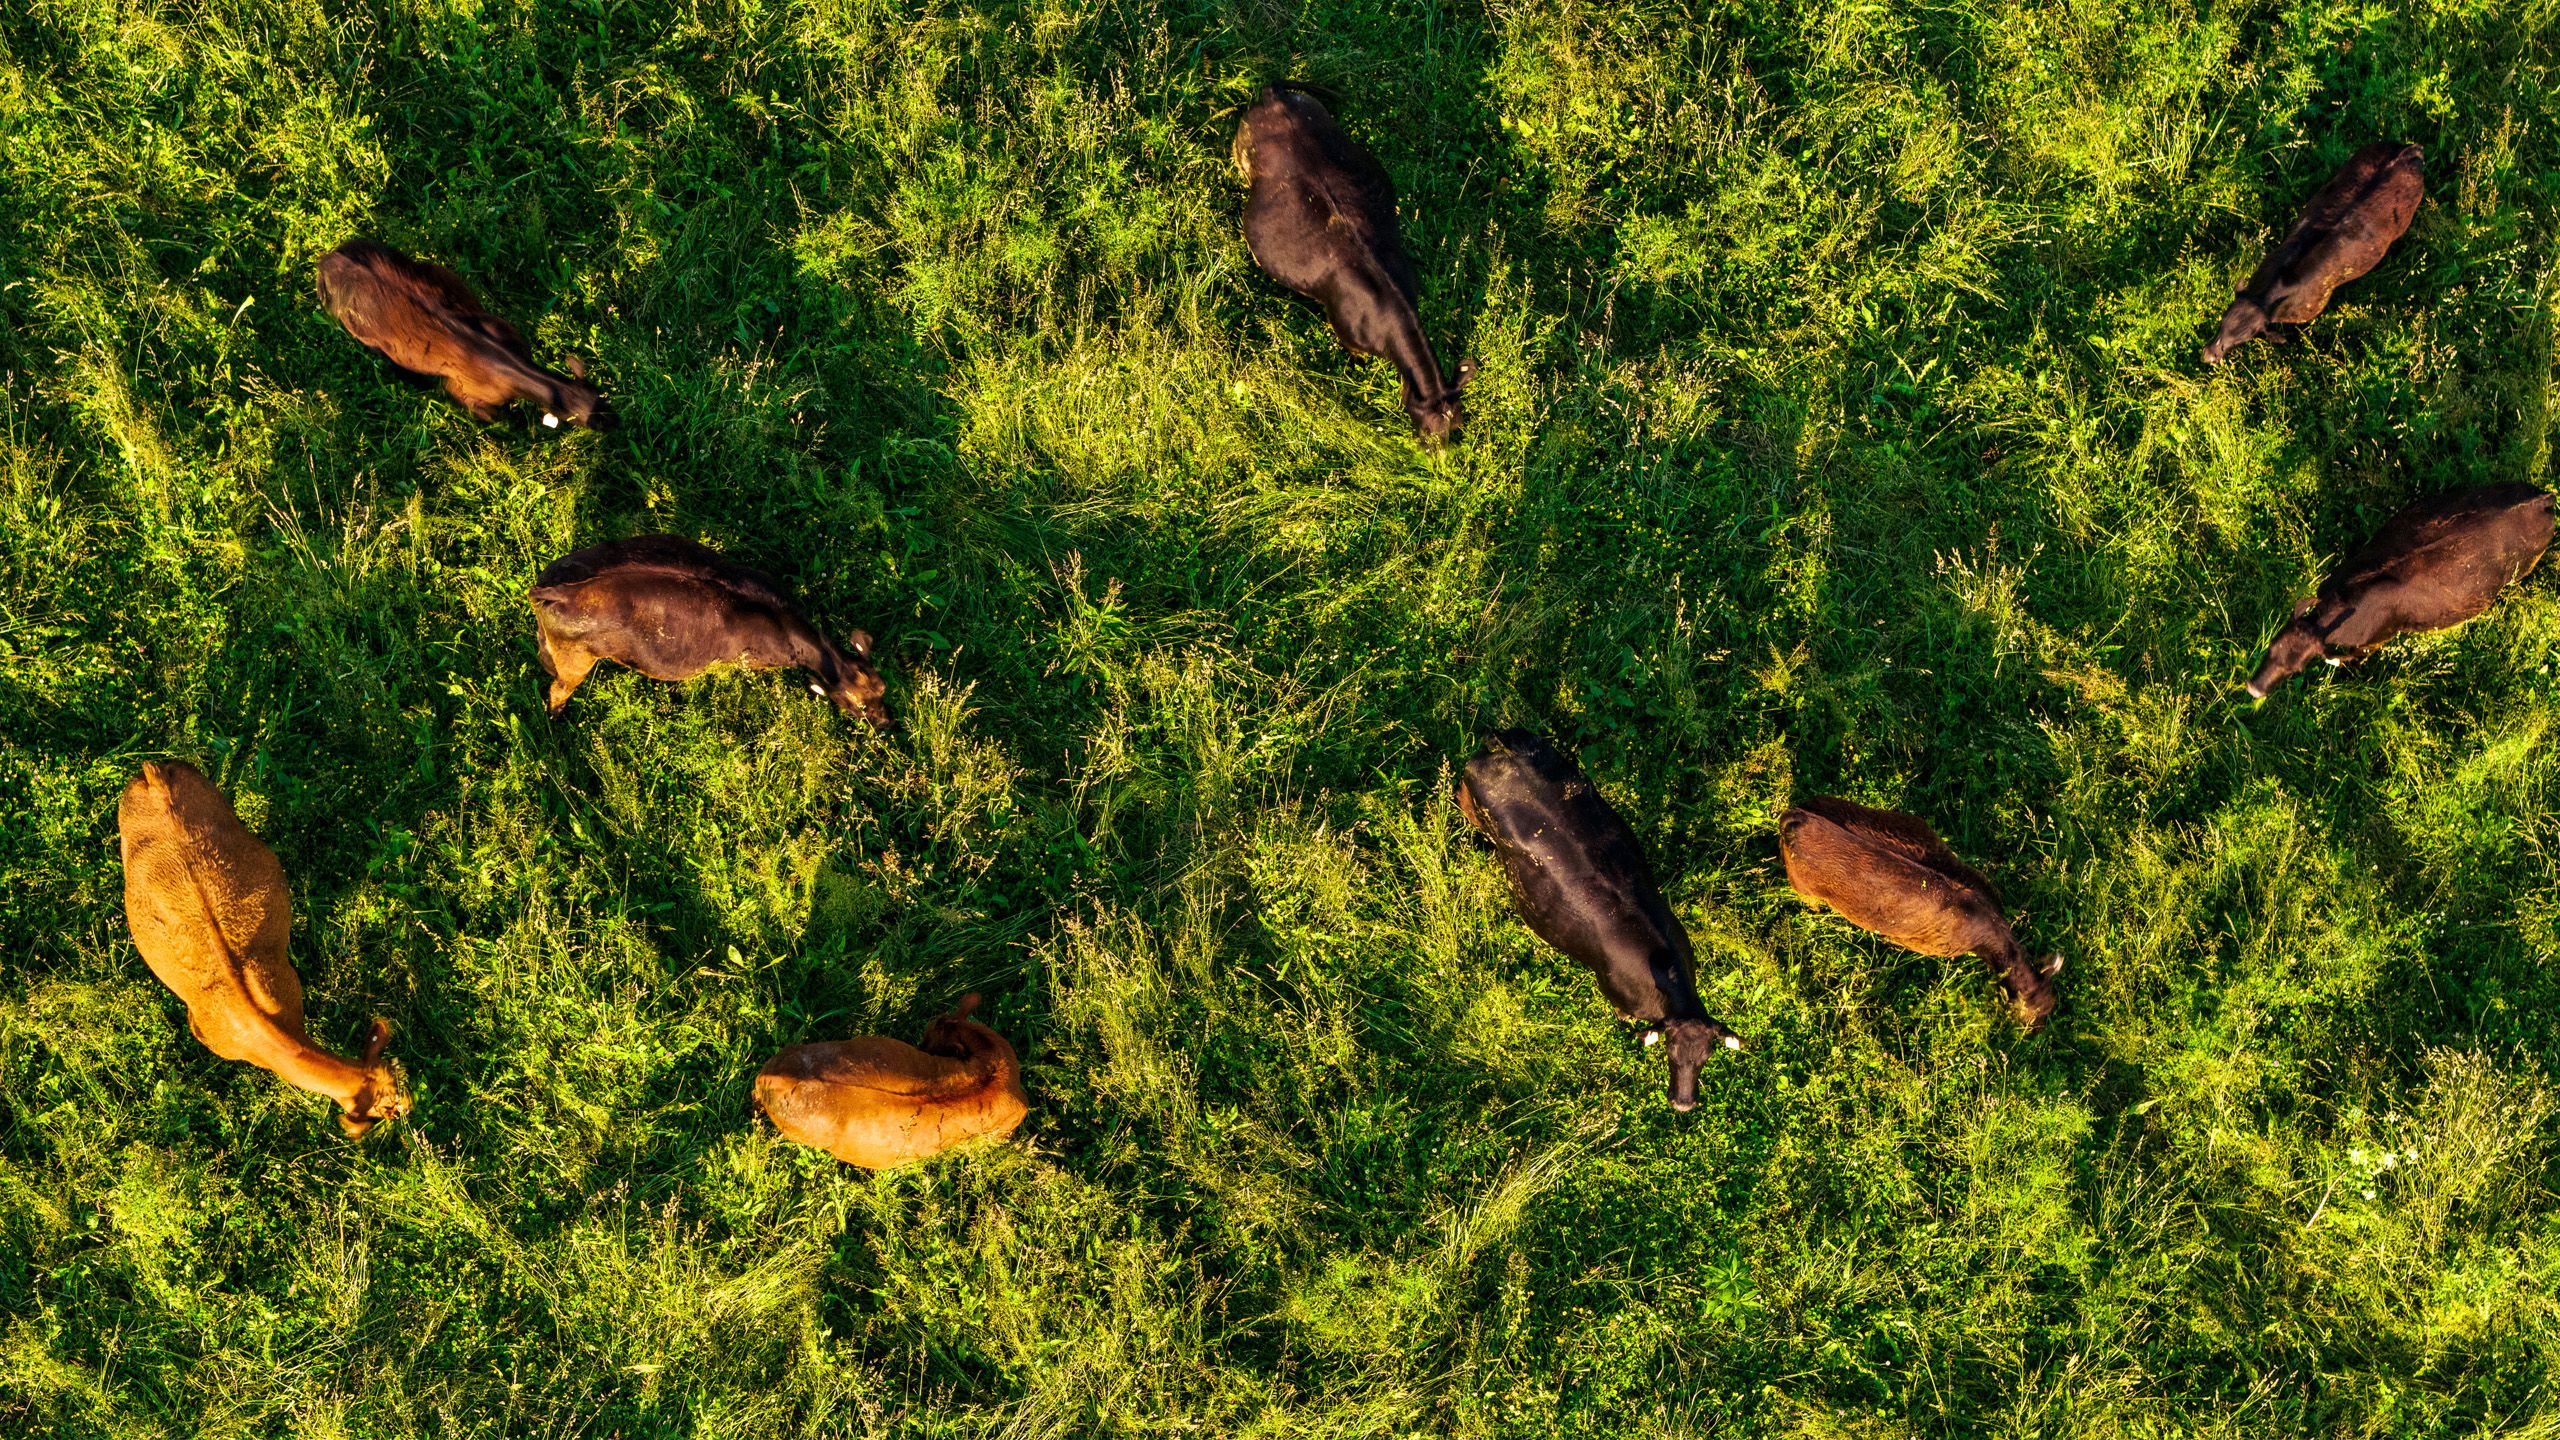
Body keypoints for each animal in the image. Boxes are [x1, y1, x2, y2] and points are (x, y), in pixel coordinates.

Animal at [317, 238, 612, 429]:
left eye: (602, 397)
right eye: (580, 419)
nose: (615, 423)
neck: (507, 364)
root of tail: (330, 260)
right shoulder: (464, 392)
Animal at [527, 535, 890, 725]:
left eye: (883, 687)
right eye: (855, 706)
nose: (885, 721)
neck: (781, 622)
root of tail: (557, 591)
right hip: (577, 661)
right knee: (558, 689)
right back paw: (556, 719)